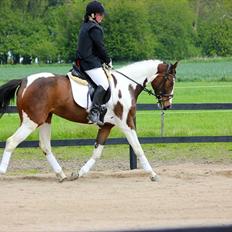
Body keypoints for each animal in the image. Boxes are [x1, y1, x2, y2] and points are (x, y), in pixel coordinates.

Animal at [0, 59, 178, 181]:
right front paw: (153, 174)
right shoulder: (126, 123)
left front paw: (79, 173)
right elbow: (137, 148)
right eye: (170, 81)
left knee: (45, 146)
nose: (167, 105)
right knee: (11, 142)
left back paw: (61, 175)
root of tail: (24, 81)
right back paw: (2, 173)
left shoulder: (106, 125)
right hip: (31, 121)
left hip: (45, 120)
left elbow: (97, 152)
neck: (126, 85)